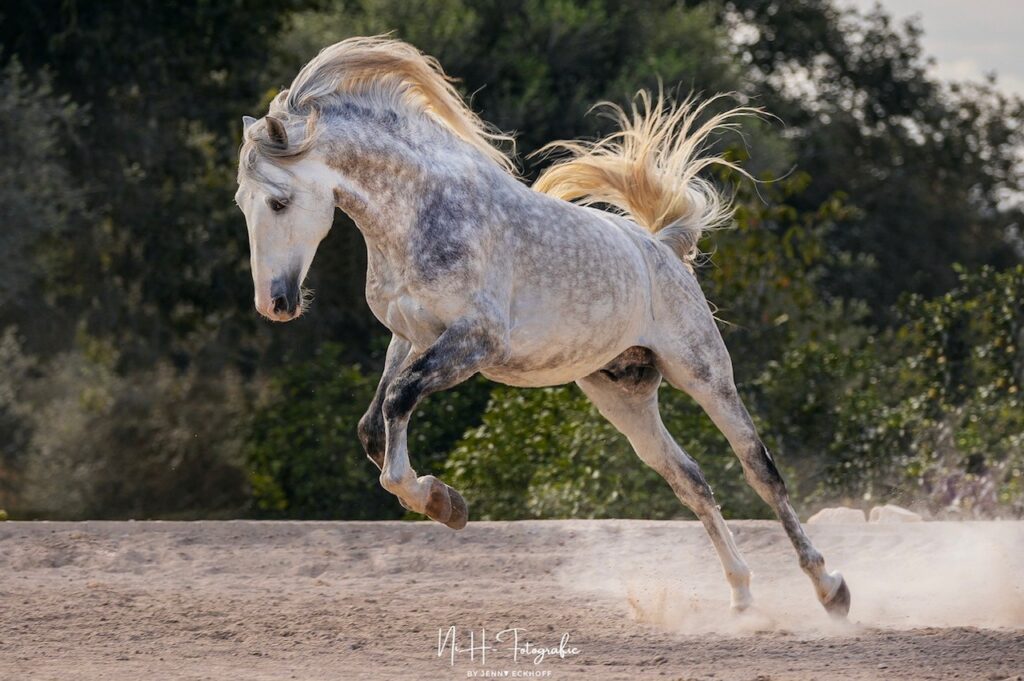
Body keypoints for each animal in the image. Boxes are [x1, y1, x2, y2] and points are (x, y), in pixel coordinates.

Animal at [235, 36, 850, 618]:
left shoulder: (471, 343)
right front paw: (444, 501)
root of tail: (663, 246)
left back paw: (830, 590)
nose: (275, 303)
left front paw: (439, 502)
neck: (418, 213)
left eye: (280, 201)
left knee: (760, 471)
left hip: (704, 375)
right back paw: (742, 597)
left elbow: (398, 408)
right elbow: (374, 427)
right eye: (243, 202)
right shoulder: (409, 338)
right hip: (624, 394)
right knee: (690, 481)